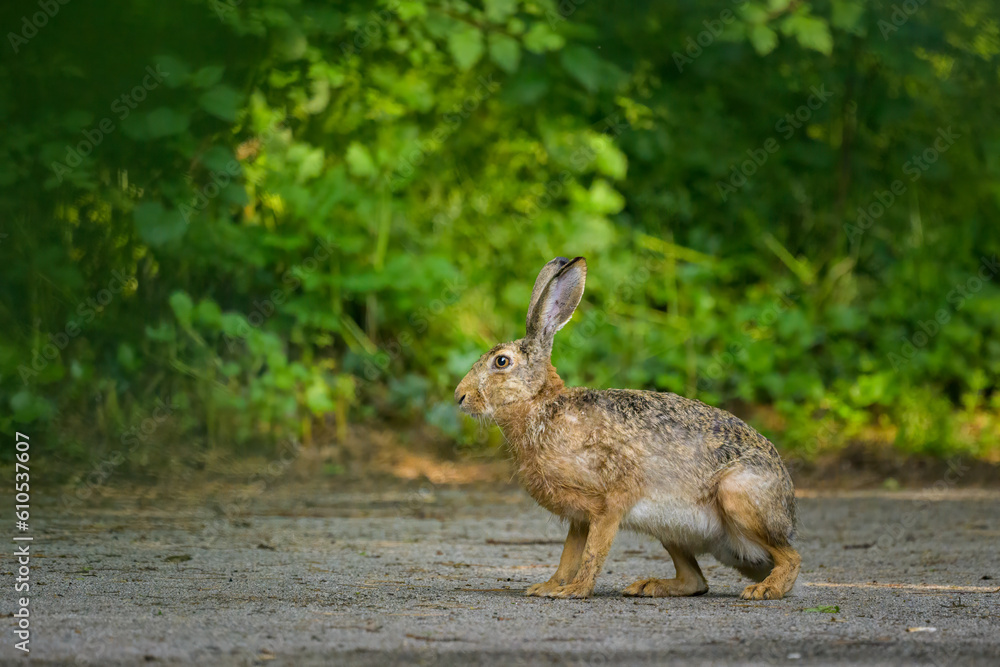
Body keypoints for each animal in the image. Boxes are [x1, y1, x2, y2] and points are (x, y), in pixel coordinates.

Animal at [454, 256, 800, 600]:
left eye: (501, 362)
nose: (460, 396)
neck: (541, 405)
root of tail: (789, 513)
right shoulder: (580, 517)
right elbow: (569, 554)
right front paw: (548, 587)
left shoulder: (610, 503)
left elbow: (593, 552)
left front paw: (574, 591)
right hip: (668, 529)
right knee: (696, 582)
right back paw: (648, 586)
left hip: (738, 495)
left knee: (791, 557)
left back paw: (764, 589)